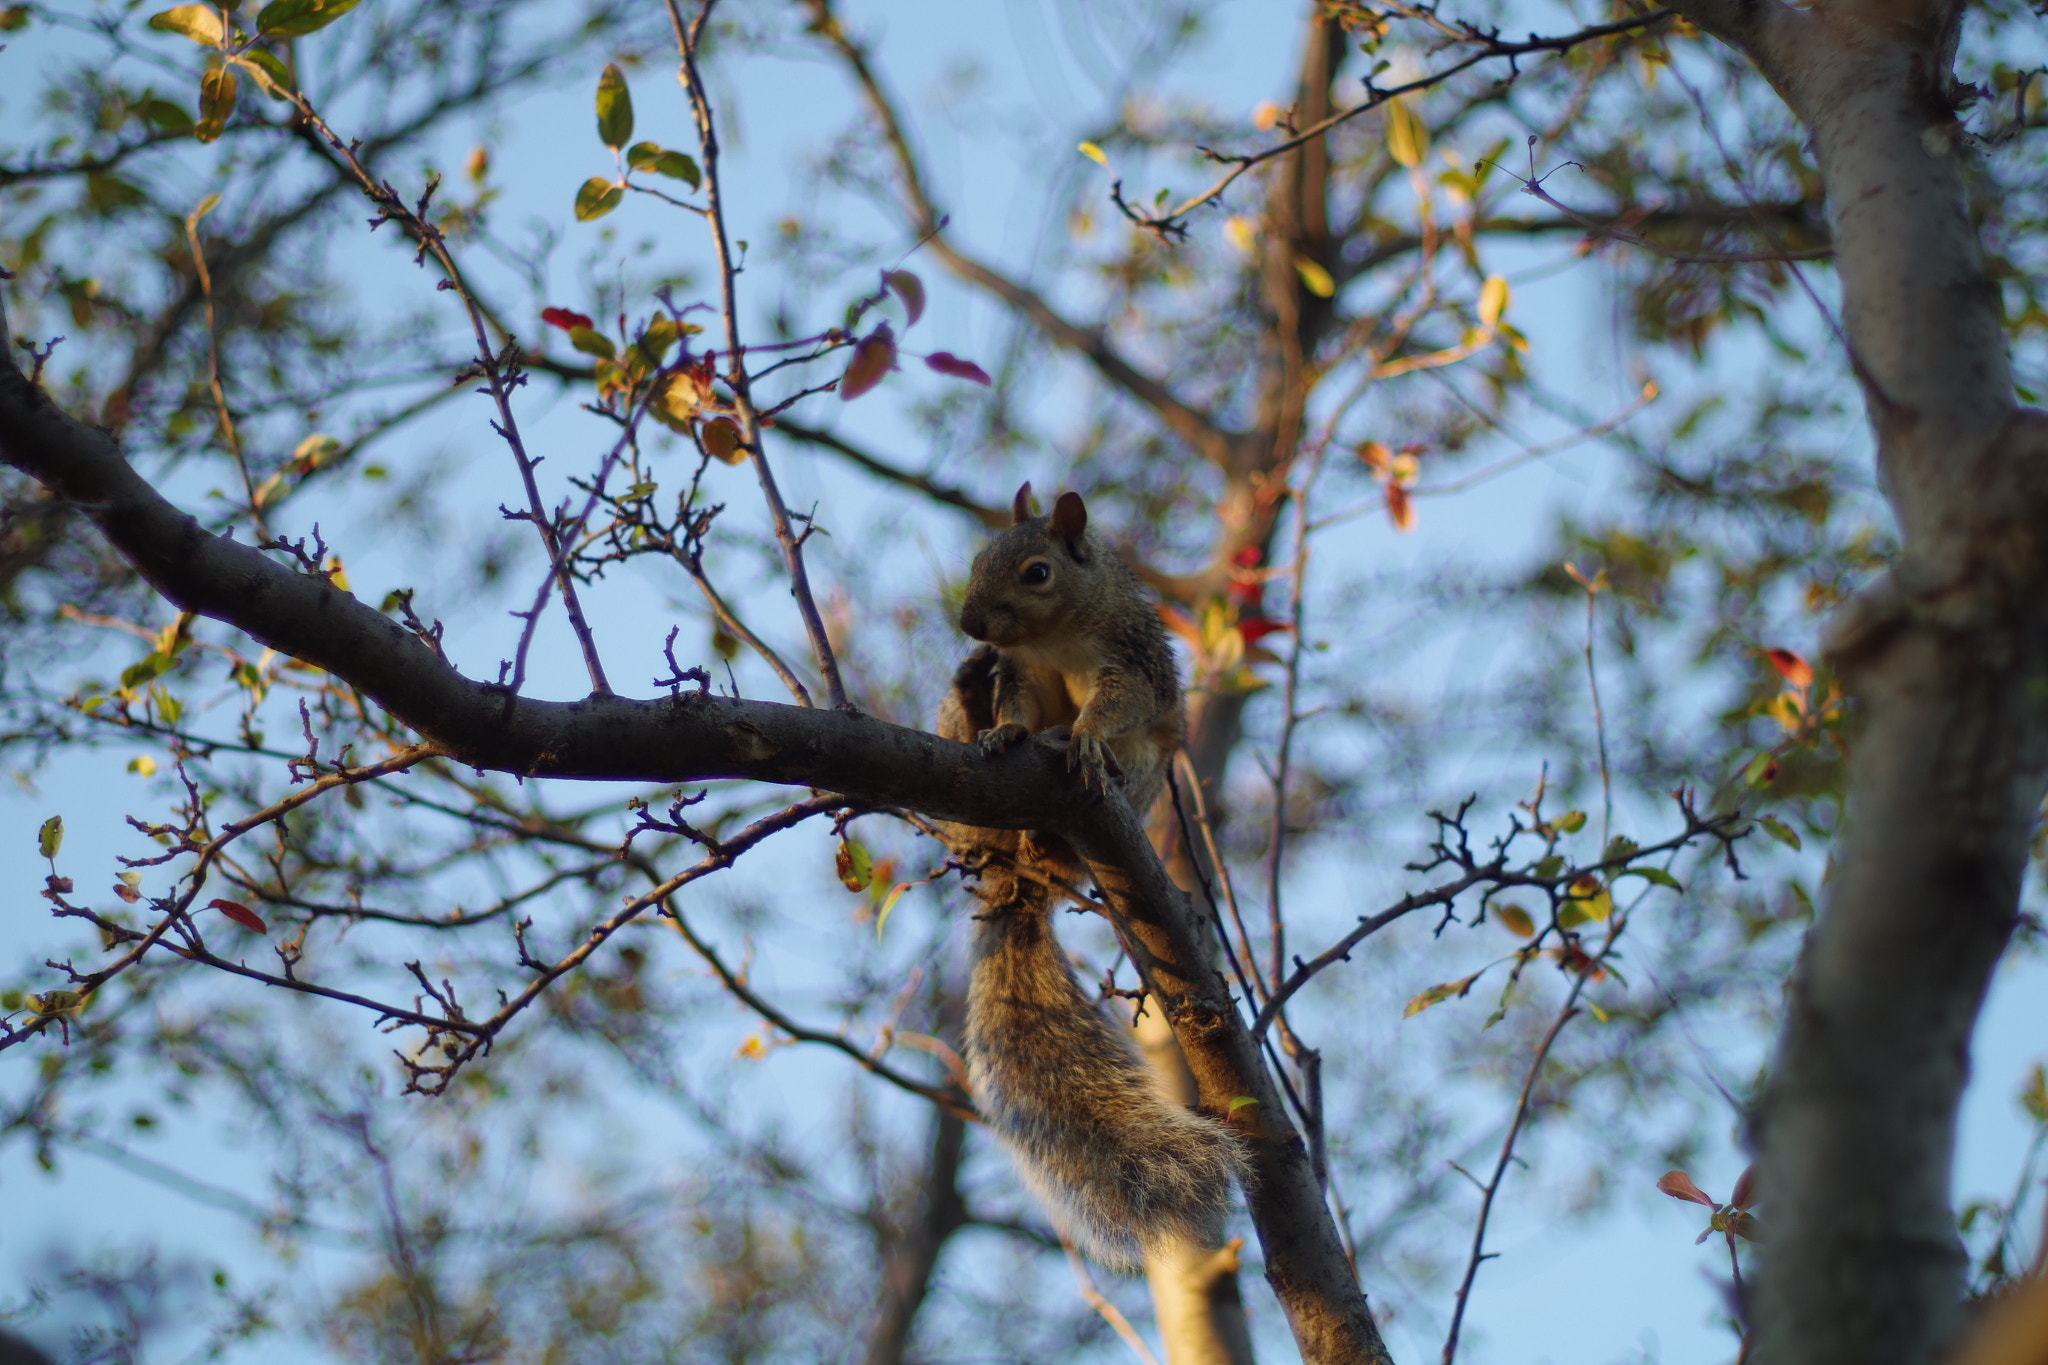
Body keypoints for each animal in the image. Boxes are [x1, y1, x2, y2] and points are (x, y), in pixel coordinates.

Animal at [933, 489, 1245, 1268]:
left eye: (1037, 572)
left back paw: (1052, 819)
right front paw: (1002, 729)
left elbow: (1114, 706)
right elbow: (1015, 703)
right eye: (978, 558)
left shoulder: (1129, 663)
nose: (970, 624)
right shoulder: (1021, 672)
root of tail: (1018, 879)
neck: (1055, 636)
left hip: (1141, 774)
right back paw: (972, 706)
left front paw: (1079, 737)